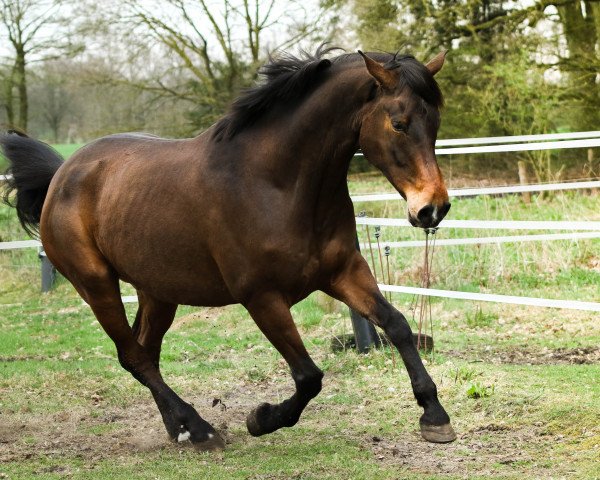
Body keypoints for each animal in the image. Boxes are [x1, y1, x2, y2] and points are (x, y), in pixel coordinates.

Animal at [2, 45, 454, 450]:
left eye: (435, 122)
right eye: (398, 123)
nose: (432, 208)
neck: (277, 183)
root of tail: (63, 173)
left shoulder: (343, 272)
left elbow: (397, 325)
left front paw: (435, 417)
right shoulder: (262, 297)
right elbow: (309, 376)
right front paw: (261, 419)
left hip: (158, 291)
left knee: (145, 353)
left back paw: (180, 431)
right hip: (96, 285)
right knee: (134, 356)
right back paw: (199, 430)